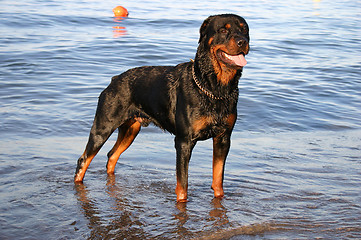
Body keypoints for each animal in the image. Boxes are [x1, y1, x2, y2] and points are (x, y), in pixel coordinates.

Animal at [74, 12, 249, 201]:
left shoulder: (223, 138)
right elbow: (182, 184)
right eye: (223, 30)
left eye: (245, 29)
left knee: (112, 156)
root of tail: (114, 80)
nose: (242, 42)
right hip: (103, 127)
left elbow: (218, 179)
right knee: (84, 160)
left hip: (131, 129)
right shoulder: (184, 141)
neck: (214, 88)